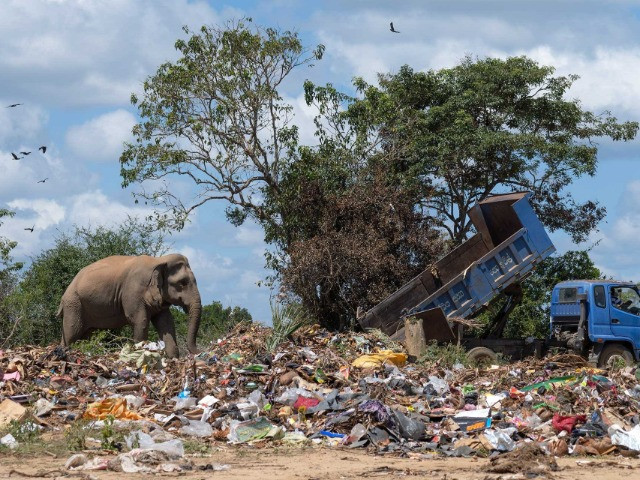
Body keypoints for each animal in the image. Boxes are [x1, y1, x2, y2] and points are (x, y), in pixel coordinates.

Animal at [57, 253, 201, 358]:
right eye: (182, 283)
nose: (199, 352)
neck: (159, 260)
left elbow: (166, 322)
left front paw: (172, 359)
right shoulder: (133, 293)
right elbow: (139, 321)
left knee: (84, 335)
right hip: (73, 304)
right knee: (72, 333)